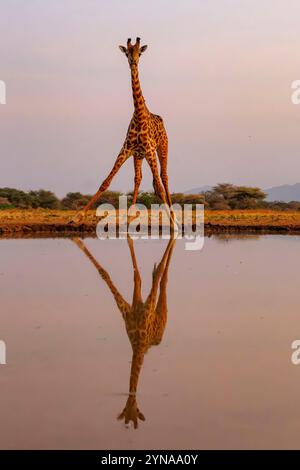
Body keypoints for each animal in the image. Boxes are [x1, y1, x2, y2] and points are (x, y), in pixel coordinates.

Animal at [72, 237, 176, 428]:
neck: (138, 344)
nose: (131, 403)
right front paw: (76, 240)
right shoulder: (131, 306)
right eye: (125, 410)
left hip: (161, 313)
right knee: (155, 280)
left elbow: (154, 274)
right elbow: (124, 274)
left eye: (135, 409)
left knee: (163, 280)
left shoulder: (145, 307)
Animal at [73, 37, 176, 225]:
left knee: (163, 178)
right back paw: (130, 215)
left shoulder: (150, 149)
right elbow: (106, 182)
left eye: (139, 53)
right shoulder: (126, 149)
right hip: (139, 155)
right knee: (139, 178)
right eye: (127, 52)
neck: (139, 115)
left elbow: (159, 187)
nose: (133, 61)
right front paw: (76, 217)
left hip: (162, 148)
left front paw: (173, 224)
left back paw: (171, 215)